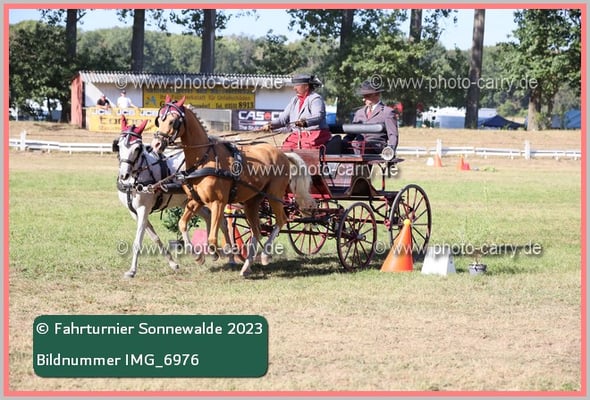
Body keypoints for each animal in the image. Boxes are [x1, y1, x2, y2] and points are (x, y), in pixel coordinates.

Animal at [114, 115, 234, 278]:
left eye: (137, 148)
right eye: (119, 145)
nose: (124, 175)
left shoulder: (143, 209)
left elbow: (138, 241)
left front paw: (132, 270)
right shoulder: (134, 212)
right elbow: (155, 237)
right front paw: (173, 263)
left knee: (222, 222)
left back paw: (230, 256)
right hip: (189, 201)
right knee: (209, 217)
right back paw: (213, 253)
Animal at [153, 95, 314, 277]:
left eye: (173, 121)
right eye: (159, 119)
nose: (156, 145)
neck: (204, 159)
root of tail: (283, 154)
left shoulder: (218, 203)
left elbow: (212, 238)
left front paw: (219, 253)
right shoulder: (195, 201)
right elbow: (182, 224)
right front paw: (198, 256)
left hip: (275, 195)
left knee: (281, 221)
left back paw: (265, 255)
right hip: (252, 202)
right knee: (257, 231)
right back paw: (247, 267)